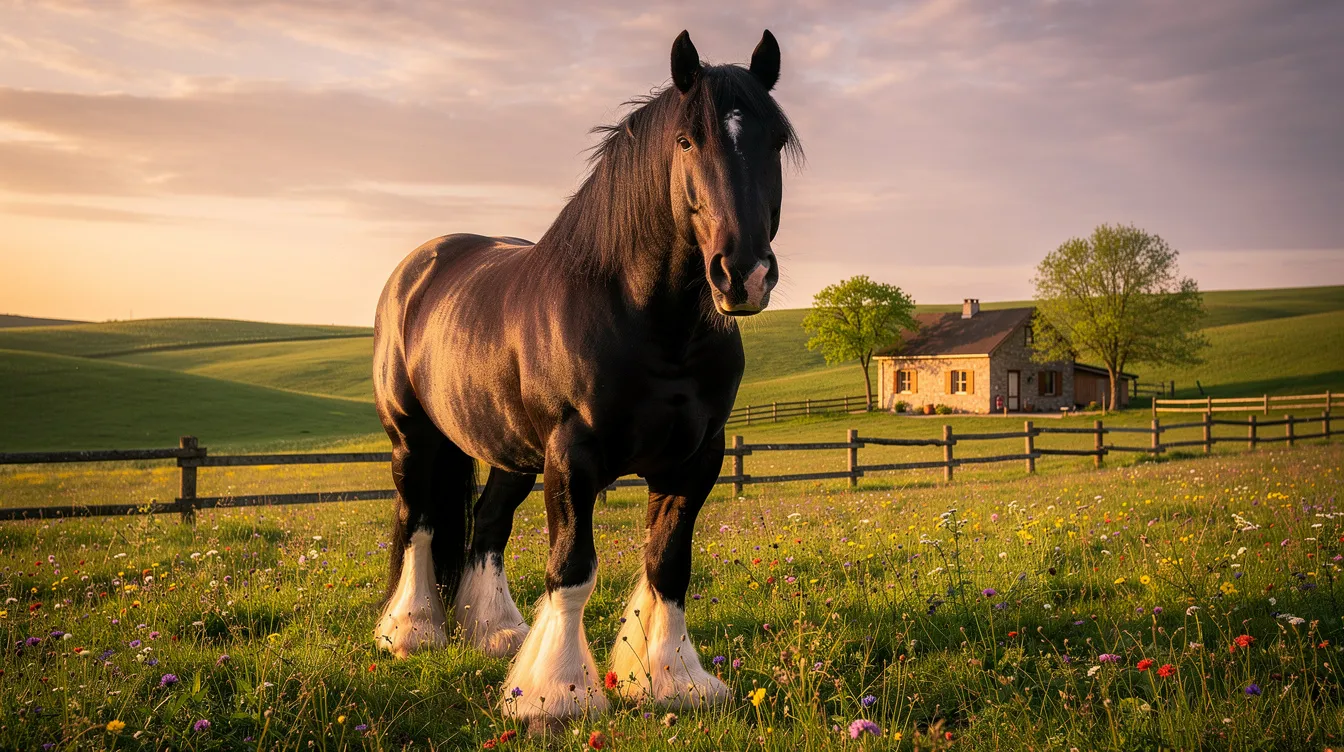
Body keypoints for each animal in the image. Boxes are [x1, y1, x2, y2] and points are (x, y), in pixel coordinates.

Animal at [371, 29, 800, 725]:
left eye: (774, 140)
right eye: (687, 141)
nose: (743, 274)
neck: (647, 320)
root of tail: (422, 265)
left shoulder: (695, 459)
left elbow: (668, 564)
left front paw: (674, 679)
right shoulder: (572, 456)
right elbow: (571, 567)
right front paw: (558, 692)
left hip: (511, 454)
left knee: (487, 524)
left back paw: (496, 633)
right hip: (413, 438)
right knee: (420, 520)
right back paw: (411, 631)